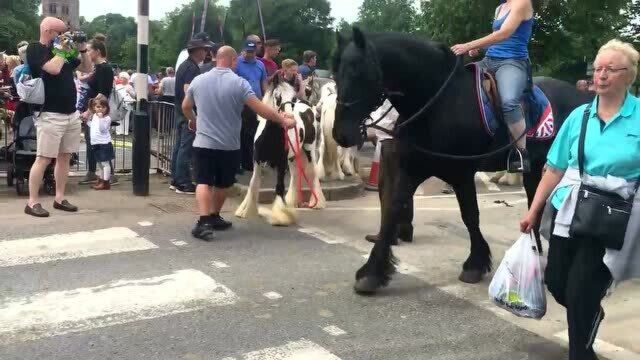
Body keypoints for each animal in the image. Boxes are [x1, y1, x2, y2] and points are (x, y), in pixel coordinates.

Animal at [332, 27, 592, 292]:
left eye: (360, 73)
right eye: (336, 74)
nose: (341, 134)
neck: (437, 103)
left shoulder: (461, 173)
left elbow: (470, 215)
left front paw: (475, 264)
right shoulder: (411, 169)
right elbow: (392, 209)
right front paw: (373, 272)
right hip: (536, 168)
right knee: (534, 202)